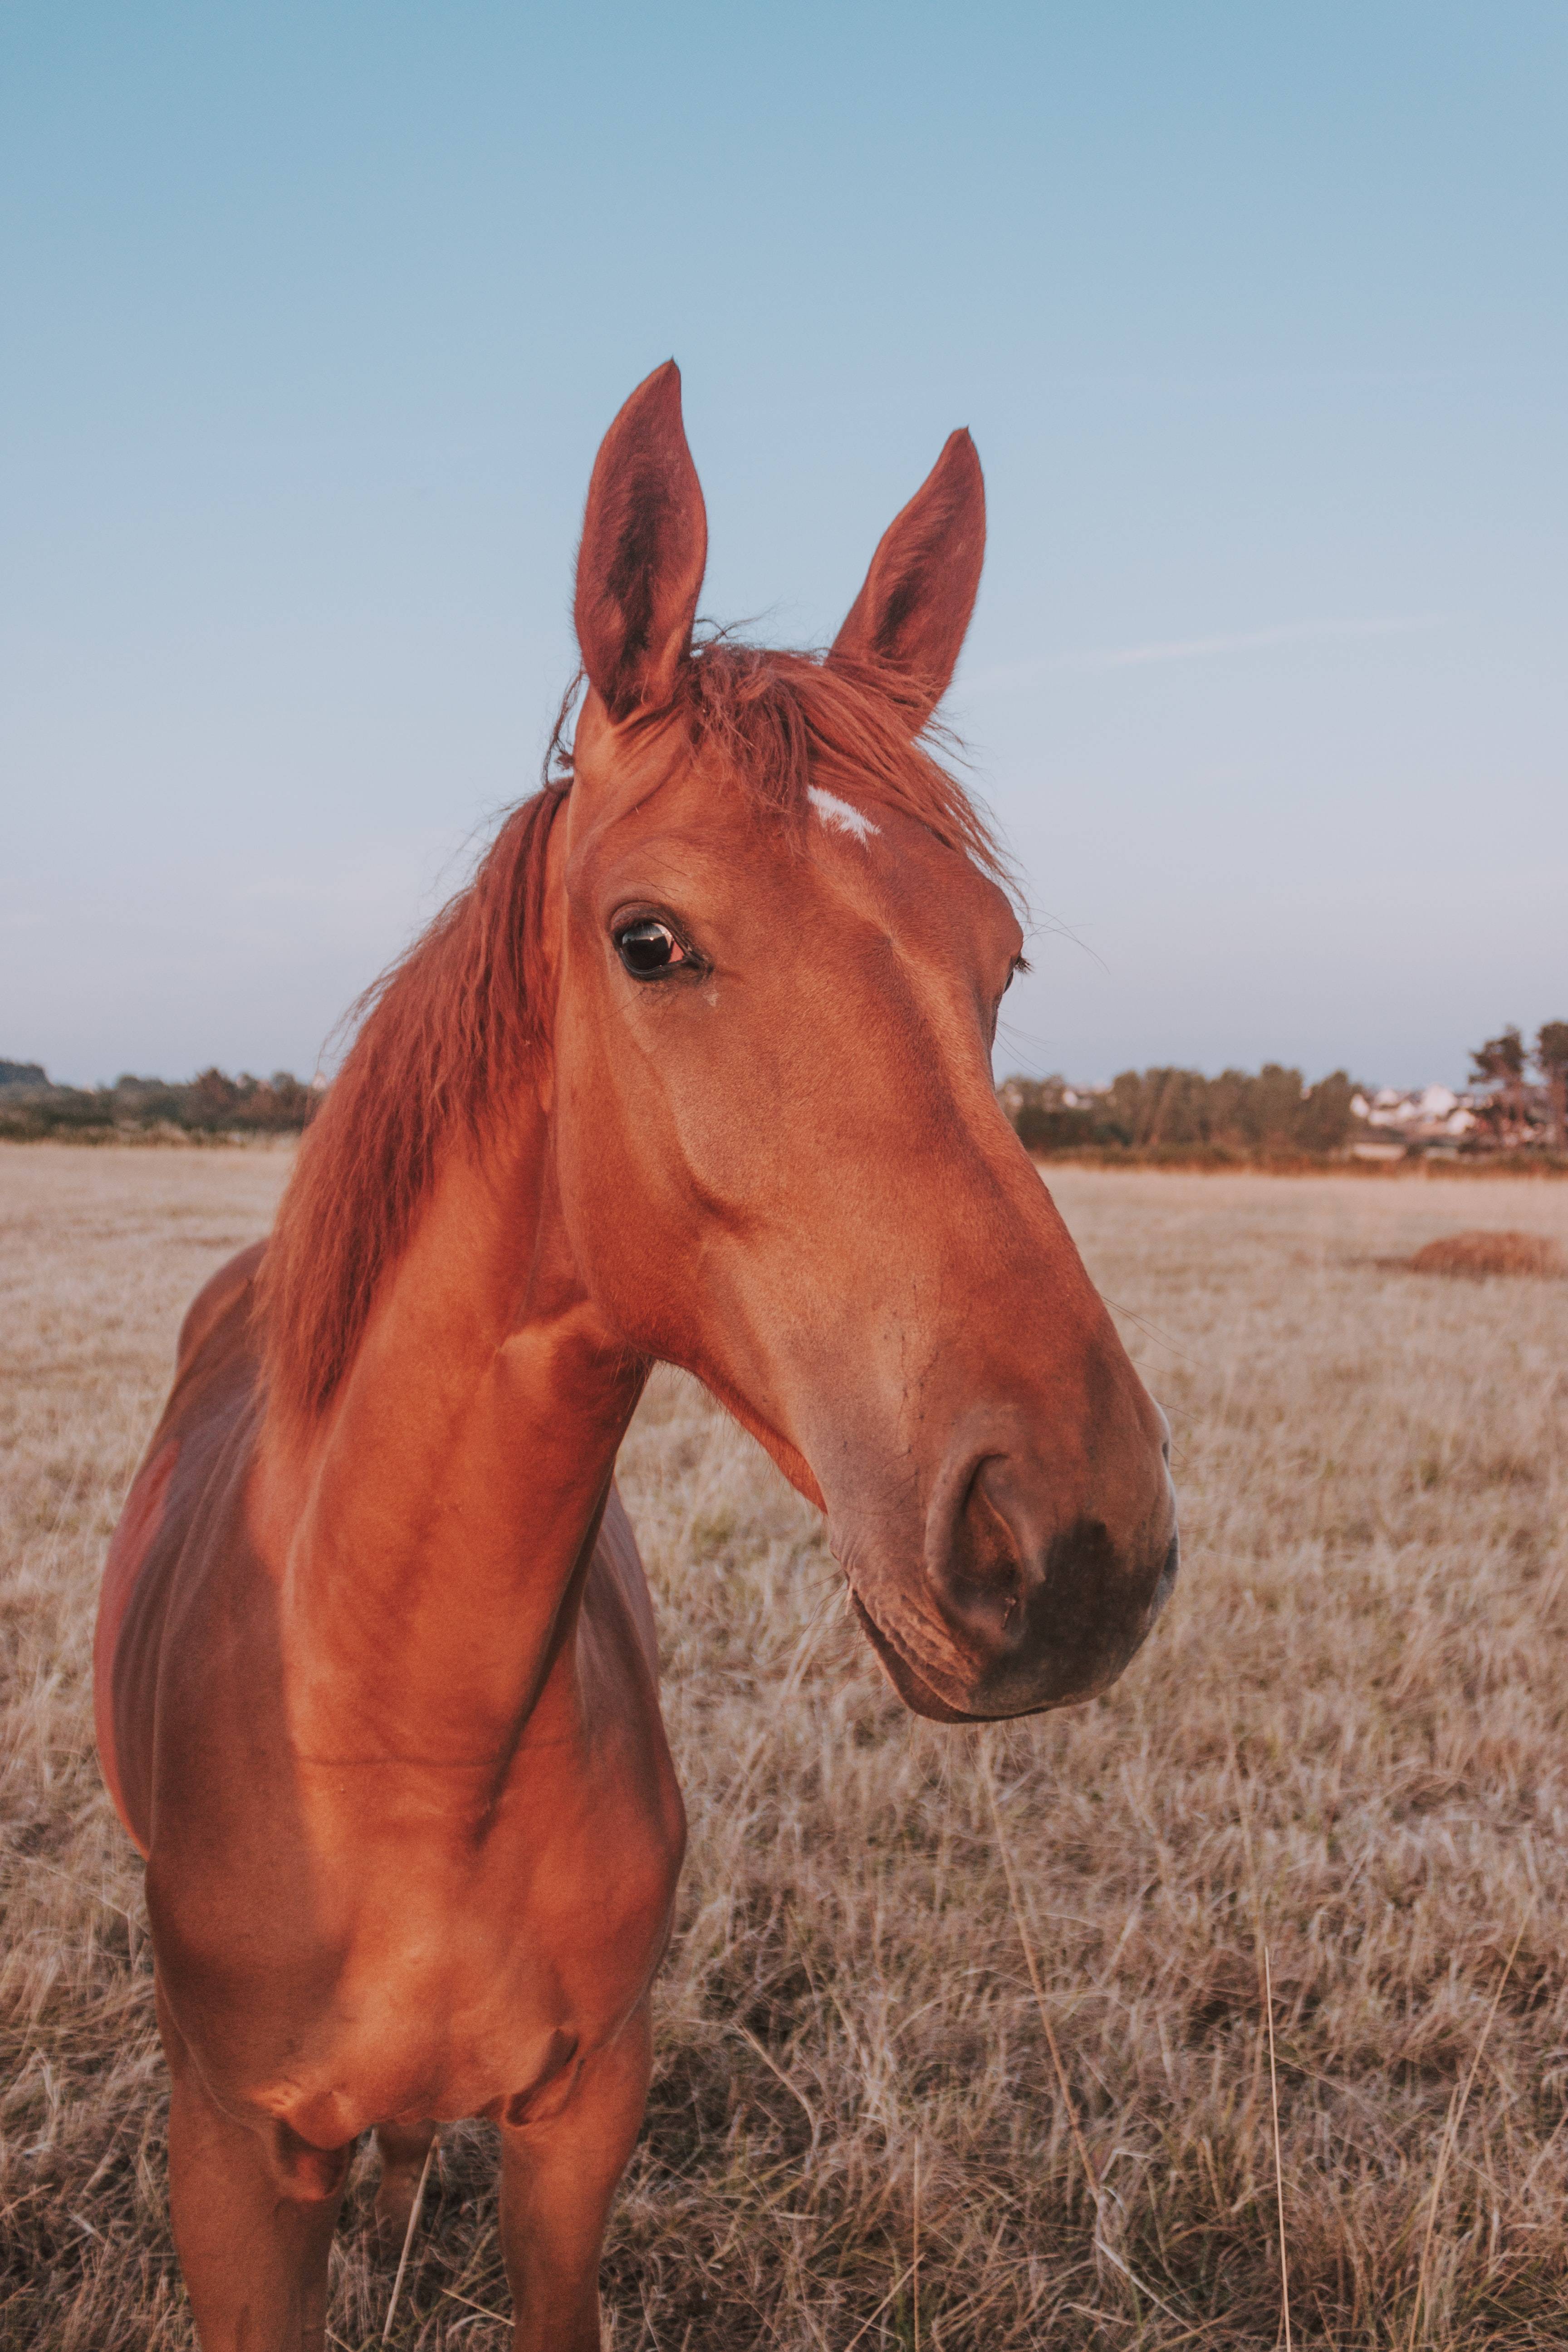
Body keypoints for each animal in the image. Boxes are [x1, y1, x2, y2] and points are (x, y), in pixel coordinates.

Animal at [95, 357, 1175, 2342]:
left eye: (999, 963)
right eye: (649, 938)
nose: (1071, 1548)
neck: (397, 1742)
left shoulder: (585, 2115)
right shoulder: (229, 2164)